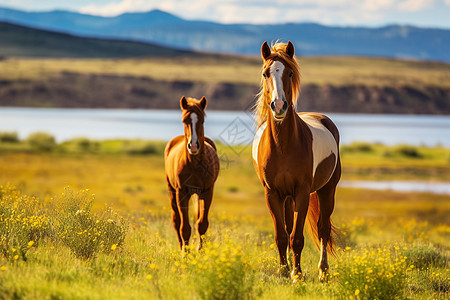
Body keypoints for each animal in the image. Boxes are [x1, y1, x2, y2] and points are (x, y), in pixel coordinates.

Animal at [166, 97, 221, 252]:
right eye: (184, 120)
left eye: (202, 120)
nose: (194, 146)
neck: (195, 165)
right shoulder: (181, 193)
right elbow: (184, 227)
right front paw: (185, 253)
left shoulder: (207, 192)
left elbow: (201, 224)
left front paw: (199, 251)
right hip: (172, 191)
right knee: (176, 220)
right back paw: (181, 247)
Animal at [251, 41, 340, 282]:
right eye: (265, 73)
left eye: (290, 73)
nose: (279, 106)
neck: (283, 146)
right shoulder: (272, 194)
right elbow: (282, 235)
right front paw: (284, 271)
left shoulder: (302, 192)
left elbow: (297, 237)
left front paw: (297, 275)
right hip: (287, 197)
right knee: (290, 226)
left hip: (327, 189)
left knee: (323, 229)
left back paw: (323, 271)